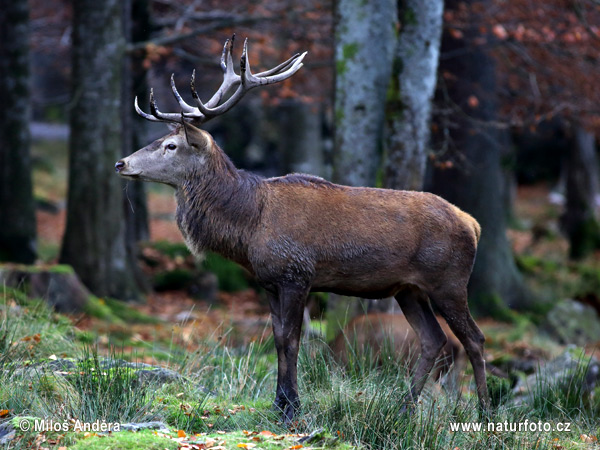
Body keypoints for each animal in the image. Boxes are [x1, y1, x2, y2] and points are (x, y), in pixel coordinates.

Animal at [115, 36, 490, 422]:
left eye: (170, 145)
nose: (121, 163)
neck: (249, 225)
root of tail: (473, 223)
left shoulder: (297, 274)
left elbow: (292, 340)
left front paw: (292, 408)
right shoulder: (269, 280)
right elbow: (279, 339)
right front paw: (279, 403)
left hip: (449, 282)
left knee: (474, 339)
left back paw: (483, 411)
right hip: (409, 290)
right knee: (434, 339)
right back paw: (403, 407)